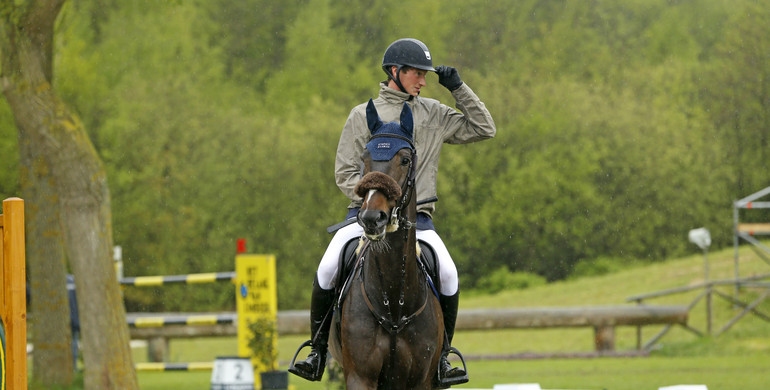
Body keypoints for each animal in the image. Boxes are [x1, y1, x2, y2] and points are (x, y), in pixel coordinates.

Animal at [326, 101, 440, 390]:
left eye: (405, 159)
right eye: (364, 159)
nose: (371, 218)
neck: (395, 306)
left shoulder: (420, 380)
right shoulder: (360, 377)